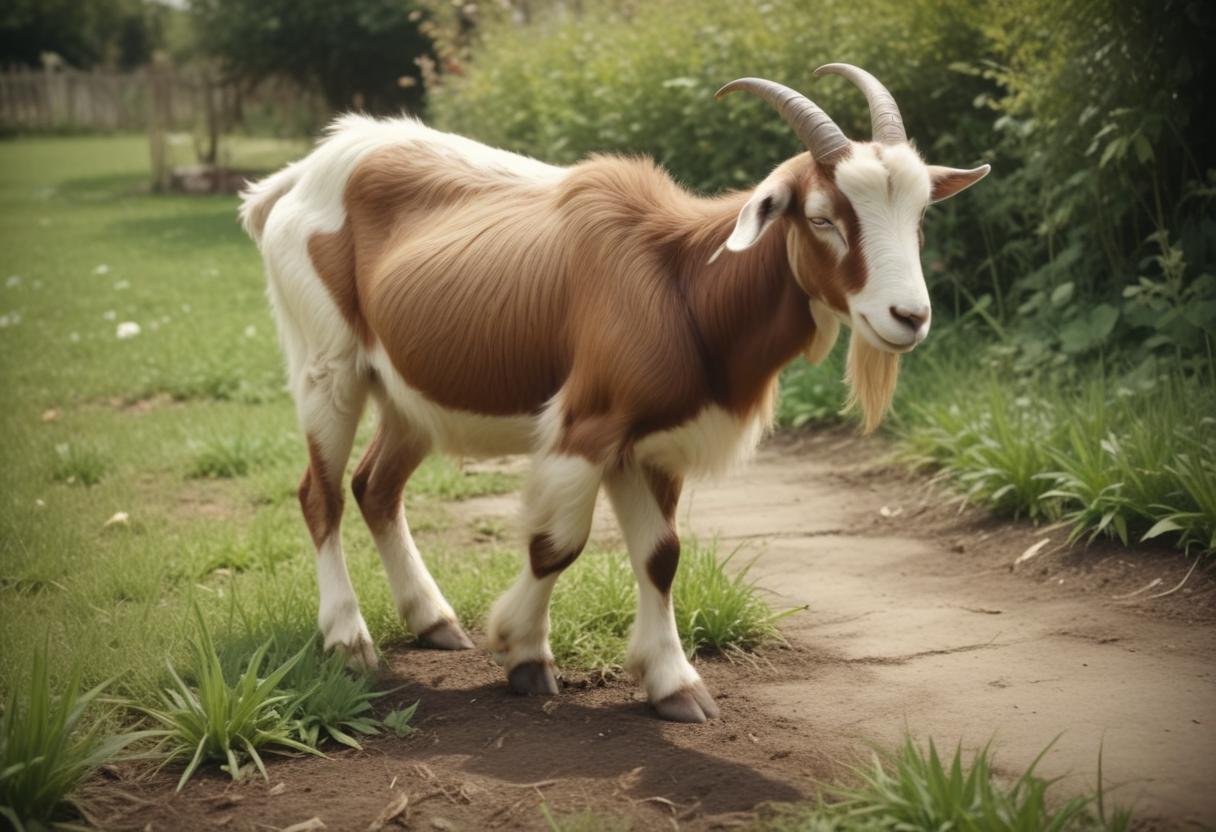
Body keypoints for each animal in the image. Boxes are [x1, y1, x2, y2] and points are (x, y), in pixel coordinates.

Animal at [240, 64, 988, 723]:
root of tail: (304, 175)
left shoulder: (651, 445)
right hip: (328, 367)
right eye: (823, 217)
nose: (908, 317)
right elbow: (557, 544)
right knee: (321, 494)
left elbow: (661, 556)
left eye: (919, 216)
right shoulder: (589, 428)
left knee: (376, 487)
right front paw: (523, 654)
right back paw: (349, 641)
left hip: (408, 398)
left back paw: (434, 621)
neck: (681, 279)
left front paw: (674, 686)